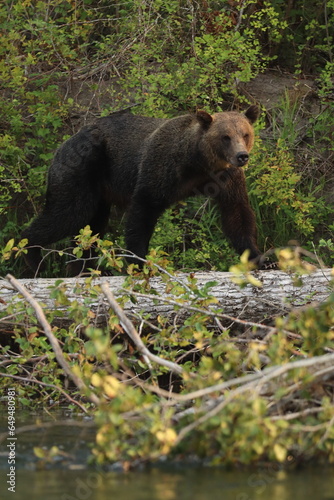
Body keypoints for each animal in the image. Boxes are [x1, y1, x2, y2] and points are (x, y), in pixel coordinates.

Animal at [22, 105, 264, 274]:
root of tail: (67, 140)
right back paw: (32, 254)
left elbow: (237, 213)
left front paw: (258, 256)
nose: (242, 156)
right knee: (69, 213)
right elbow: (143, 210)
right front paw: (138, 262)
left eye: (245, 134)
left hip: (99, 191)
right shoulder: (162, 166)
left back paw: (82, 268)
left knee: (92, 226)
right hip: (83, 166)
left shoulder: (226, 178)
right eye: (225, 137)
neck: (199, 162)